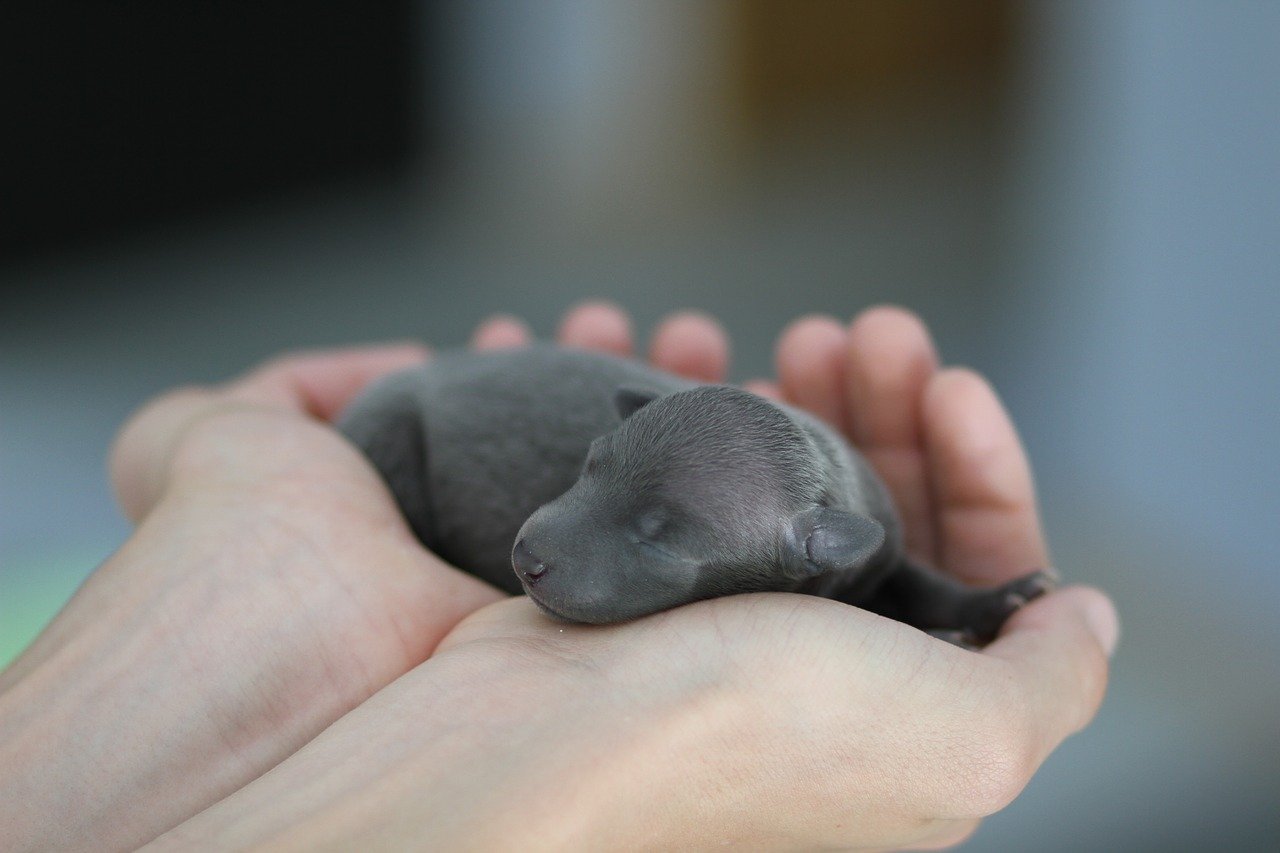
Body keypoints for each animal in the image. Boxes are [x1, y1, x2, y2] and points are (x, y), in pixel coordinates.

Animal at [340, 343, 1049, 640]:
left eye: (661, 541)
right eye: (589, 464)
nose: (527, 559)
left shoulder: (880, 549)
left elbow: (921, 581)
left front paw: (995, 599)